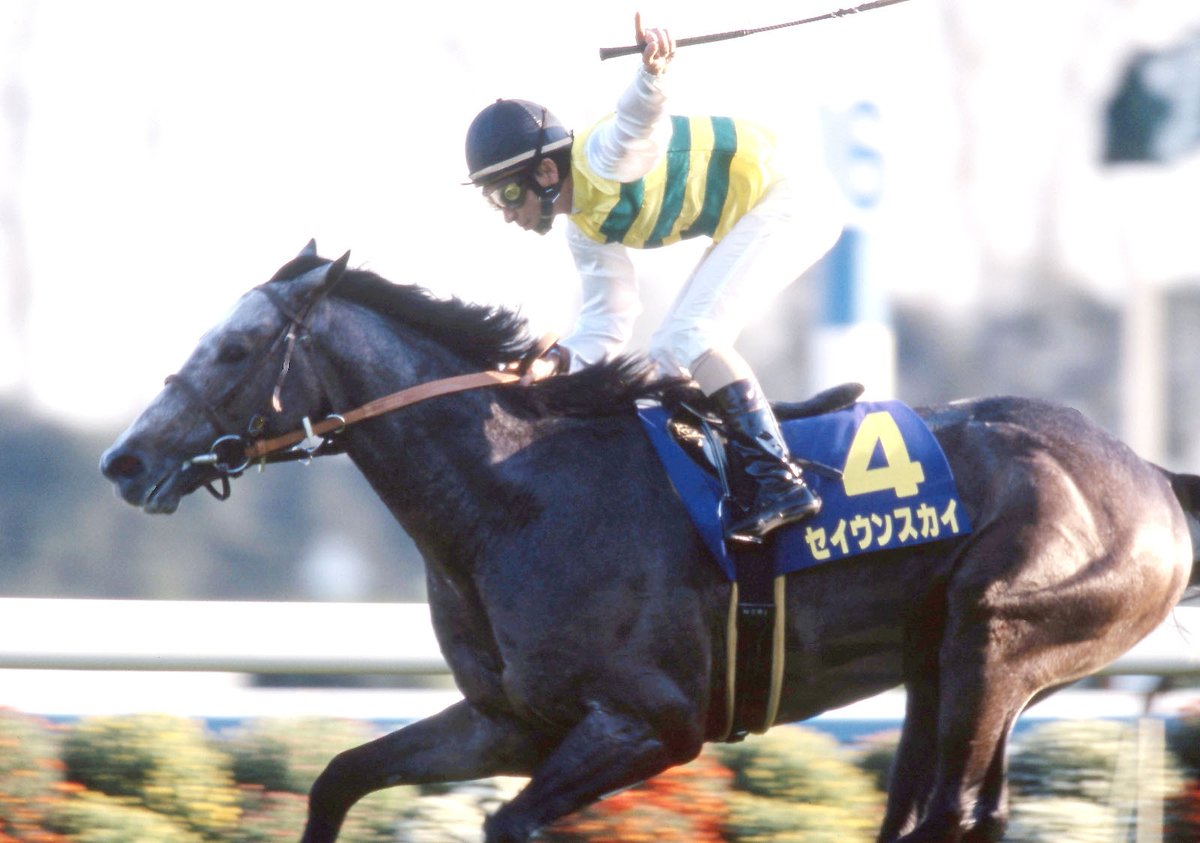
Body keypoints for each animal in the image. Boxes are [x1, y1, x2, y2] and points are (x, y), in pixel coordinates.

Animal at [100, 243, 1199, 842]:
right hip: (946, 669)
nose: (123, 459)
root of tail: (1150, 474)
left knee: (949, 814)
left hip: (999, 643)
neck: (515, 496)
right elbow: (338, 777)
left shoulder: (653, 723)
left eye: (235, 350)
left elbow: (509, 818)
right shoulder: (509, 721)